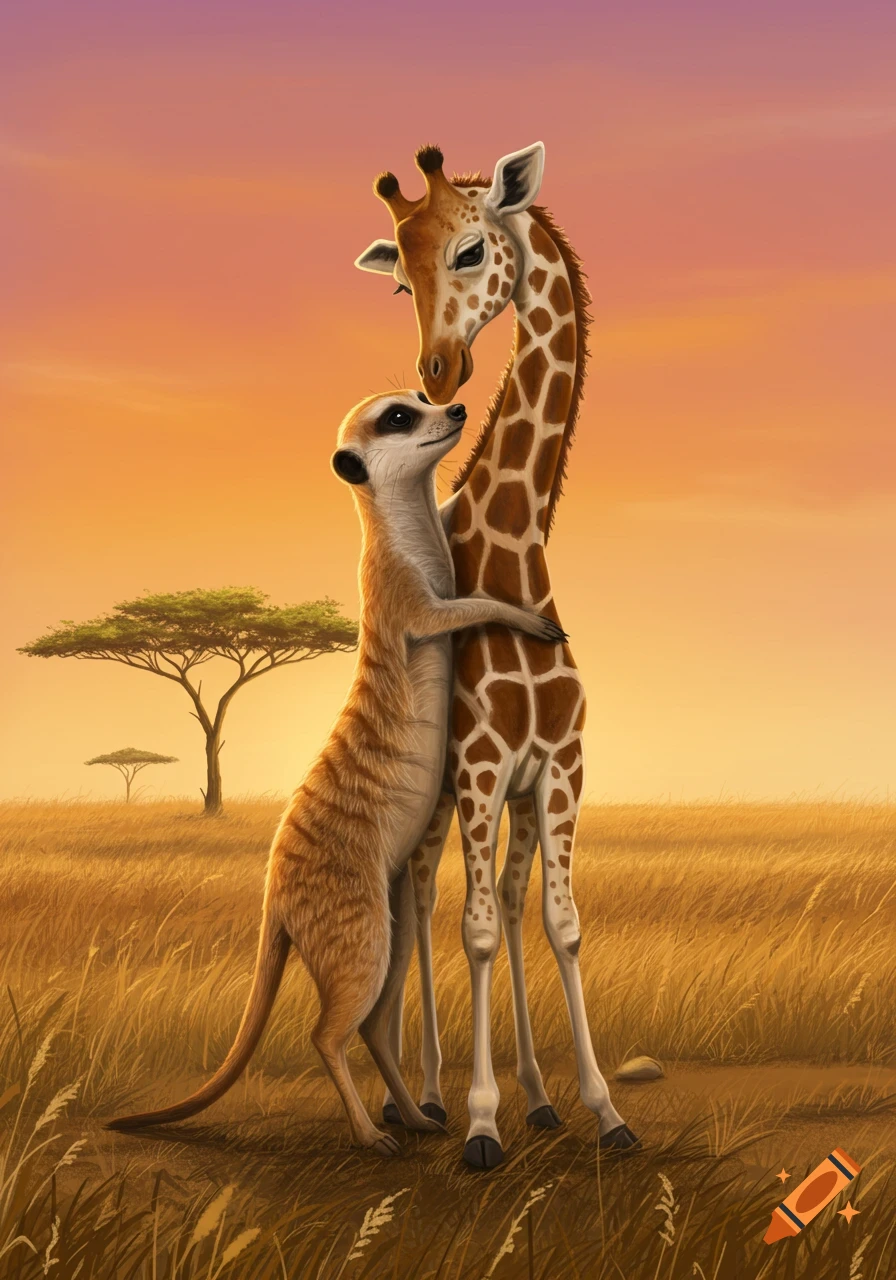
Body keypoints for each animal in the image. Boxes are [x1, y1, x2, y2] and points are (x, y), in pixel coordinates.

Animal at [355, 143, 638, 1168]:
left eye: (472, 249)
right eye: (399, 278)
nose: (437, 373)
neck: (519, 548)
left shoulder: (557, 767)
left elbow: (560, 922)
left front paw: (600, 1108)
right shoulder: (477, 768)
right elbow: (472, 929)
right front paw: (480, 1123)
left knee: (507, 901)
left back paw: (538, 1099)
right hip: (435, 802)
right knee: (415, 904)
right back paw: (429, 1094)